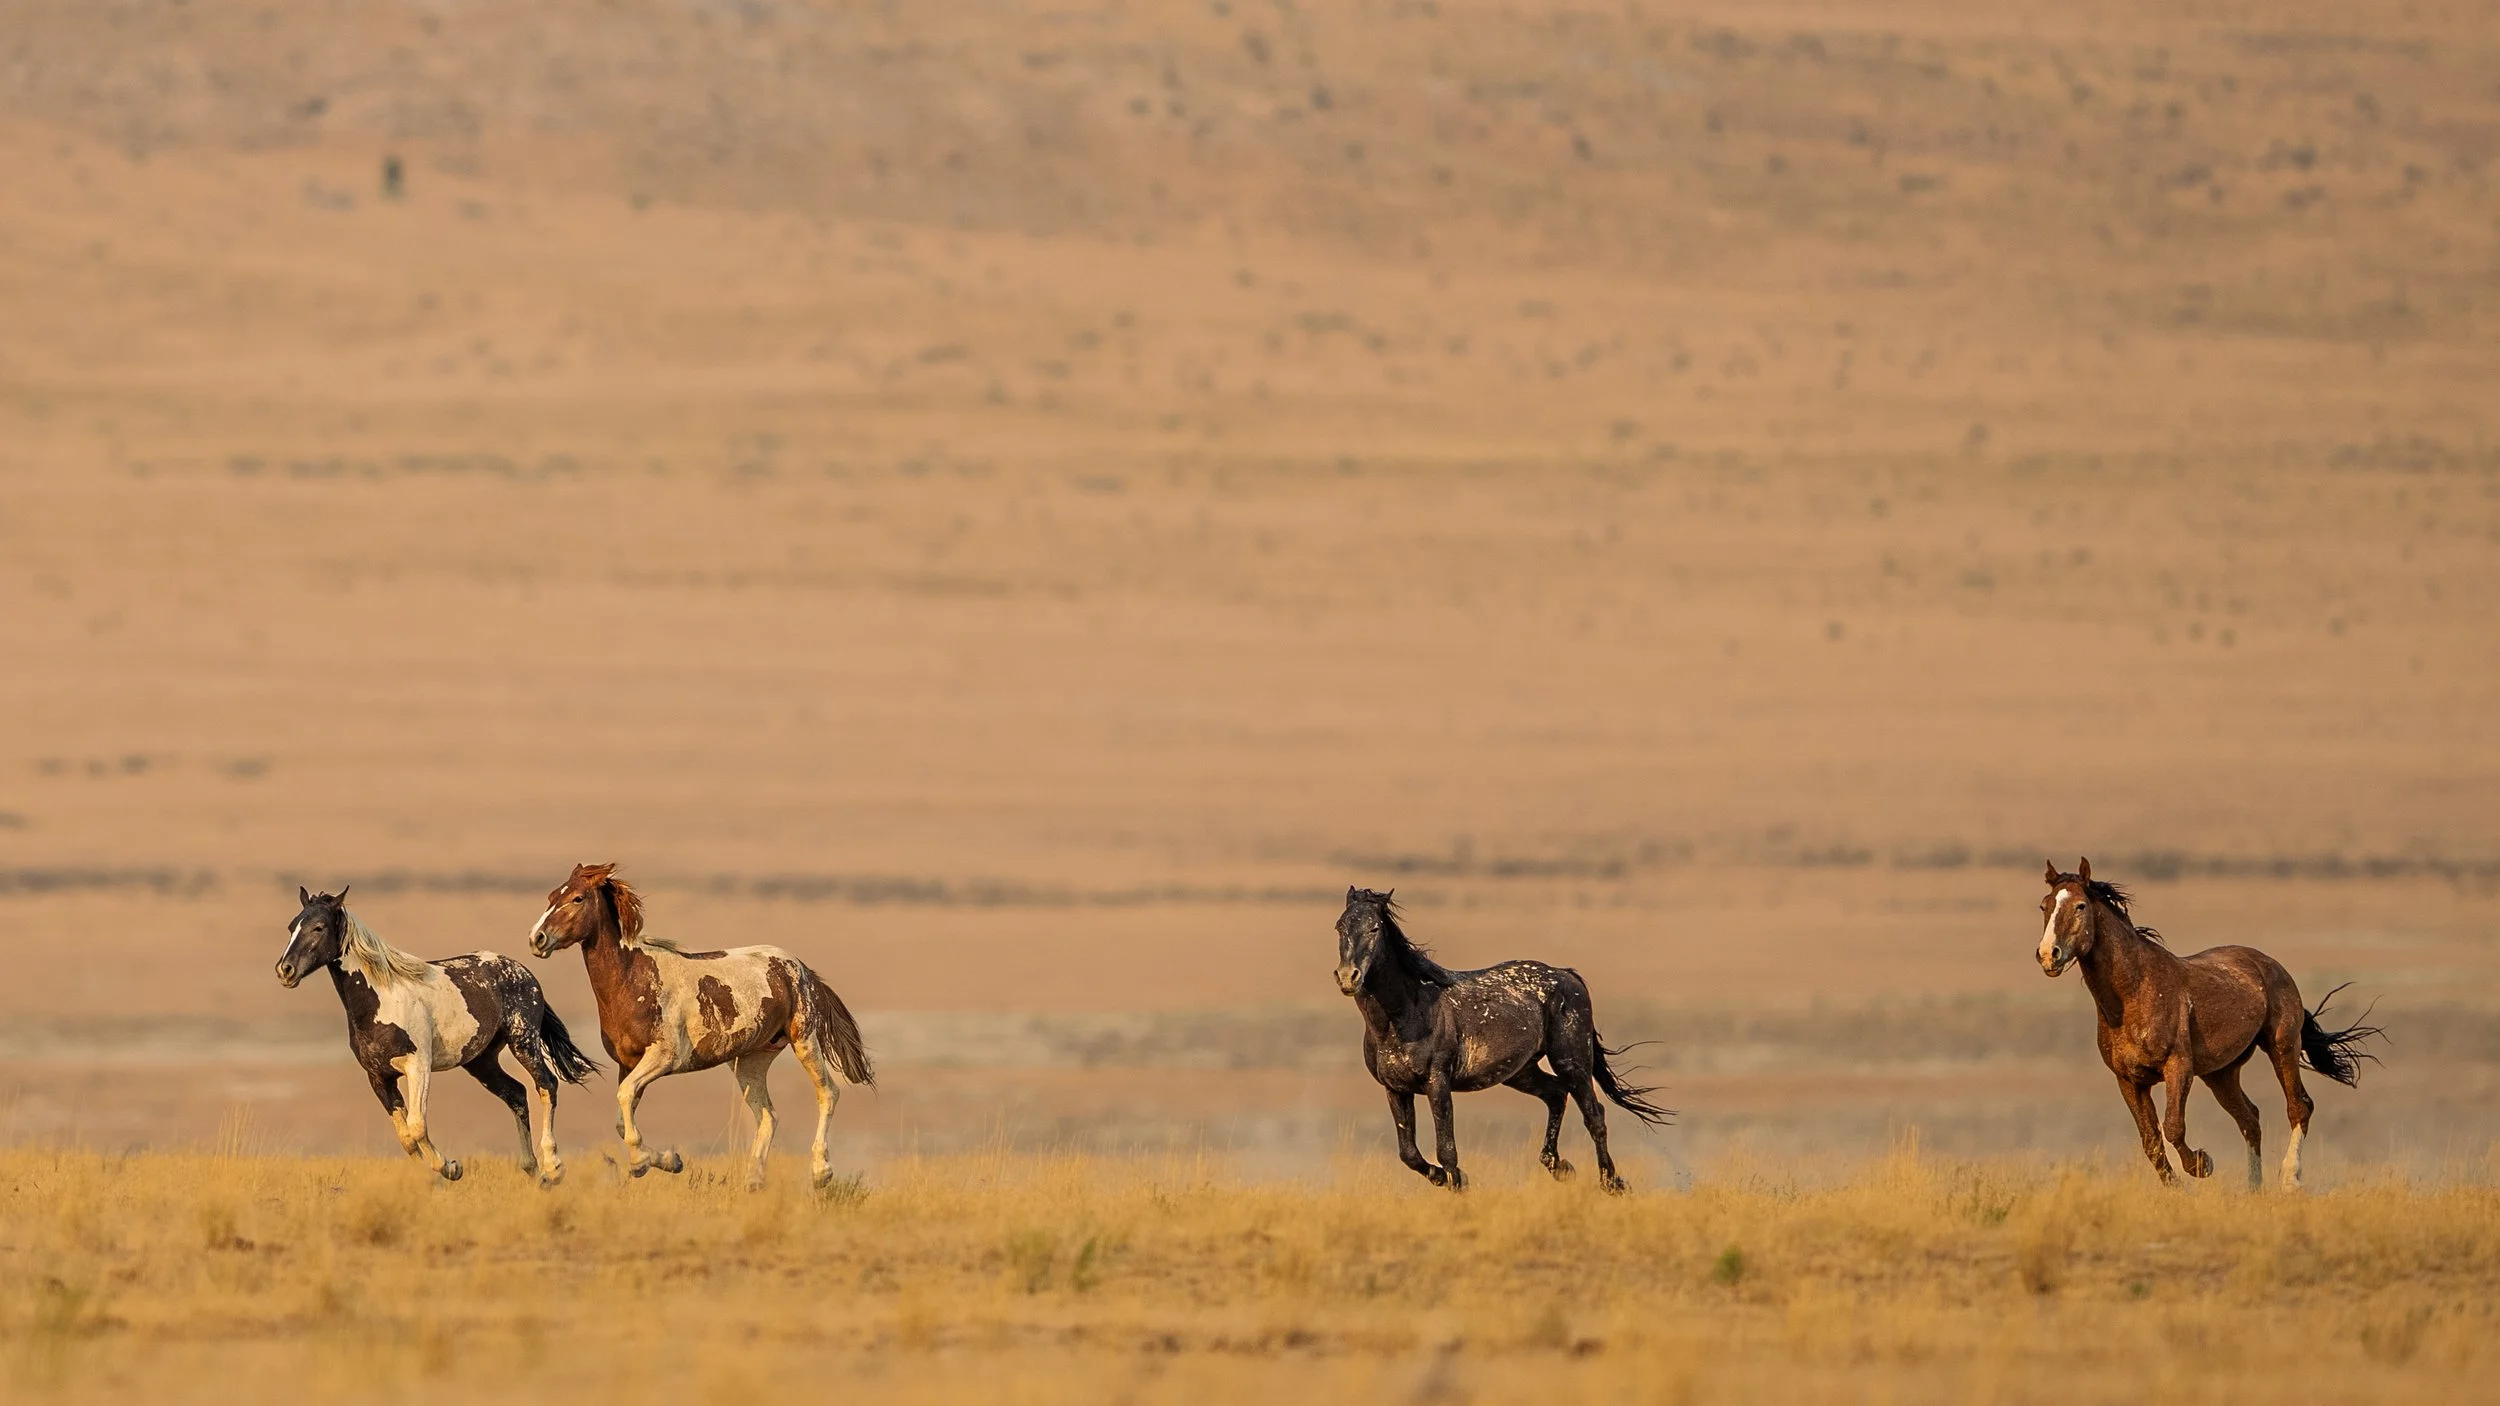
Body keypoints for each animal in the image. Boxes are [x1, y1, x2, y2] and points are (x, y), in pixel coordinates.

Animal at [277, 886, 599, 1184]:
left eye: (319, 927)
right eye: (292, 926)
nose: (285, 970)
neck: (382, 999)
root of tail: (524, 972)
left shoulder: (418, 1066)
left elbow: (417, 1126)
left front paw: (451, 1168)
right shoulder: (378, 1077)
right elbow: (406, 1137)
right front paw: (438, 1172)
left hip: (523, 1041)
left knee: (547, 1085)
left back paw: (552, 1168)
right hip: (481, 1061)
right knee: (517, 1094)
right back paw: (532, 1170)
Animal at [527, 863, 875, 1189]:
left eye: (577, 897)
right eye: (551, 896)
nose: (536, 939)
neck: (632, 979)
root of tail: (802, 968)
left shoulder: (663, 1058)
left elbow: (624, 1101)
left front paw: (641, 1162)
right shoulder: (628, 1064)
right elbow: (622, 1117)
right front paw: (670, 1160)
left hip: (803, 1039)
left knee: (828, 1093)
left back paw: (821, 1172)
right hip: (751, 1061)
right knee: (767, 1116)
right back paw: (753, 1181)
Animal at [1333, 886, 1671, 1192]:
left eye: (1375, 928)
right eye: (1339, 926)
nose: (1348, 977)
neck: (1405, 1015)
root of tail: (1567, 975)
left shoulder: (1437, 1083)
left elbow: (1447, 1149)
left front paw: (1459, 1186)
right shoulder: (1395, 1089)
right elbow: (1409, 1153)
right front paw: (1447, 1179)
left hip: (1572, 1061)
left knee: (1594, 1115)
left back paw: (1612, 1183)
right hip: (1520, 1071)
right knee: (1556, 1095)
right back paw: (1561, 1167)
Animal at [2038, 858, 2383, 1189]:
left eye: (2080, 906)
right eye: (2045, 905)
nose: (2047, 955)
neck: (2134, 993)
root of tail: (2272, 965)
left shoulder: (2178, 1066)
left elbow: (2173, 1127)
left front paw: (2202, 1165)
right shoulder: (2129, 1080)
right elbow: (2151, 1141)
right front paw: (2176, 1188)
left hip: (2282, 1046)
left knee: (2298, 1107)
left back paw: (2290, 1179)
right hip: (2221, 1073)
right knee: (2250, 1119)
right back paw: (2254, 1189)